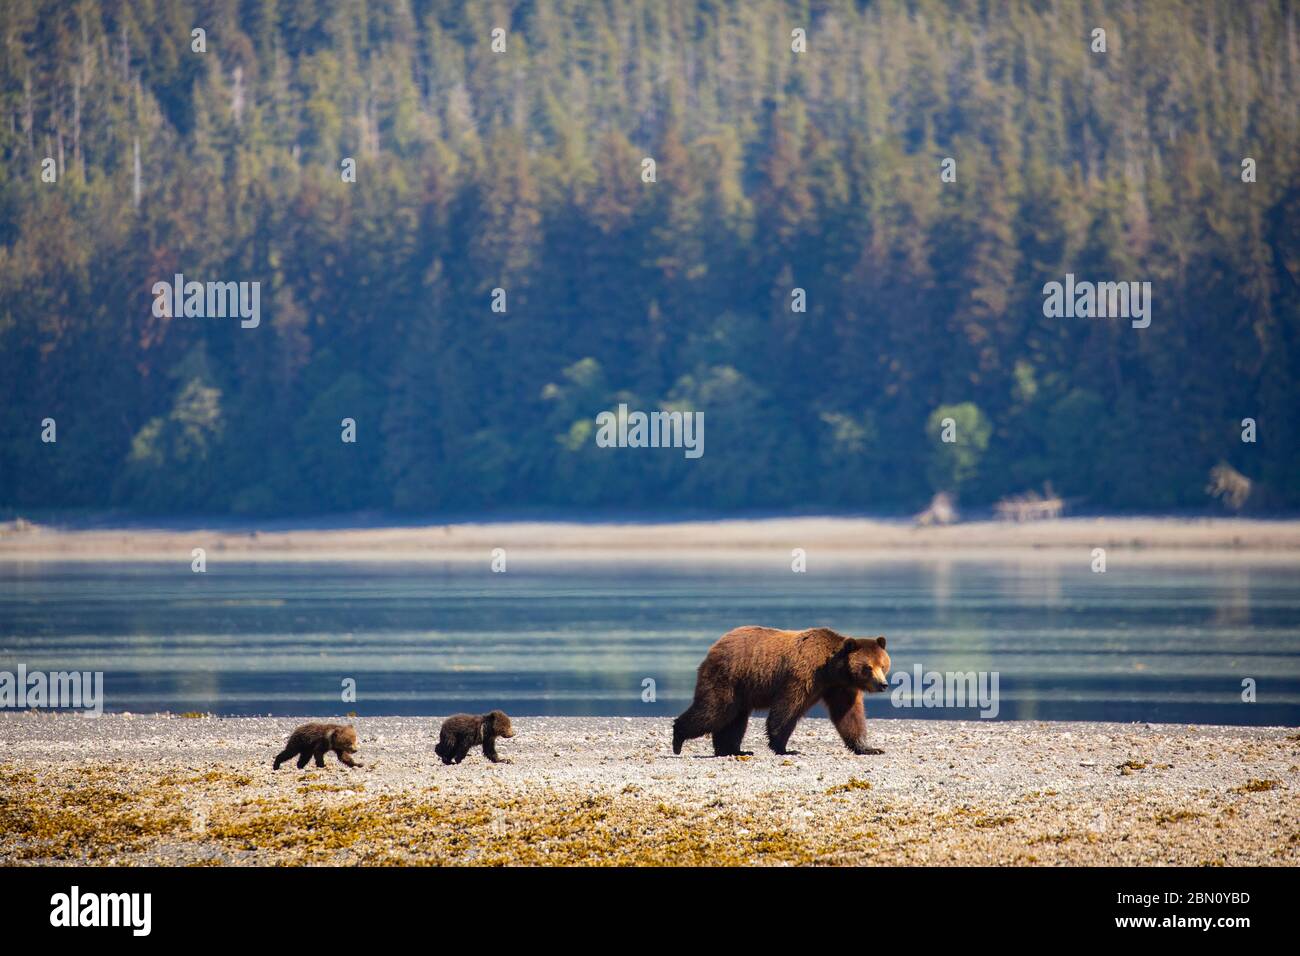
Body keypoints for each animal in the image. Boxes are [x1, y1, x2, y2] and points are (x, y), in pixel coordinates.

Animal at [676, 632, 889, 759]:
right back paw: (677, 738)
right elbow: (786, 710)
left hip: (740, 690)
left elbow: (849, 716)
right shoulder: (802, 676)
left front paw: (869, 748)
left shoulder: (840, 688)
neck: (831, 670)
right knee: (715, 710)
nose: (883, 684)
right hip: (728, 678)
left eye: (883, 665)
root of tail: (716, 645)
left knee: (734, 720)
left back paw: (733, 750)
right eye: (868, 667)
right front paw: (786, 748)